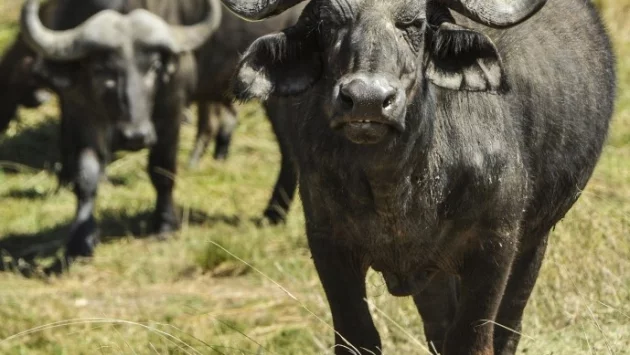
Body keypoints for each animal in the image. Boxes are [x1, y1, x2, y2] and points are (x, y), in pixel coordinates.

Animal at [221, 0, 616, 354]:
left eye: (413, 23)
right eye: (329, 22)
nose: (367, 100)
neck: (396, 187)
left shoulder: (495, 246)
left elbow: (473, 341)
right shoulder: (328, 244)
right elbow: (358, 339)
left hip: (535, 239)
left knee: (508, 329)